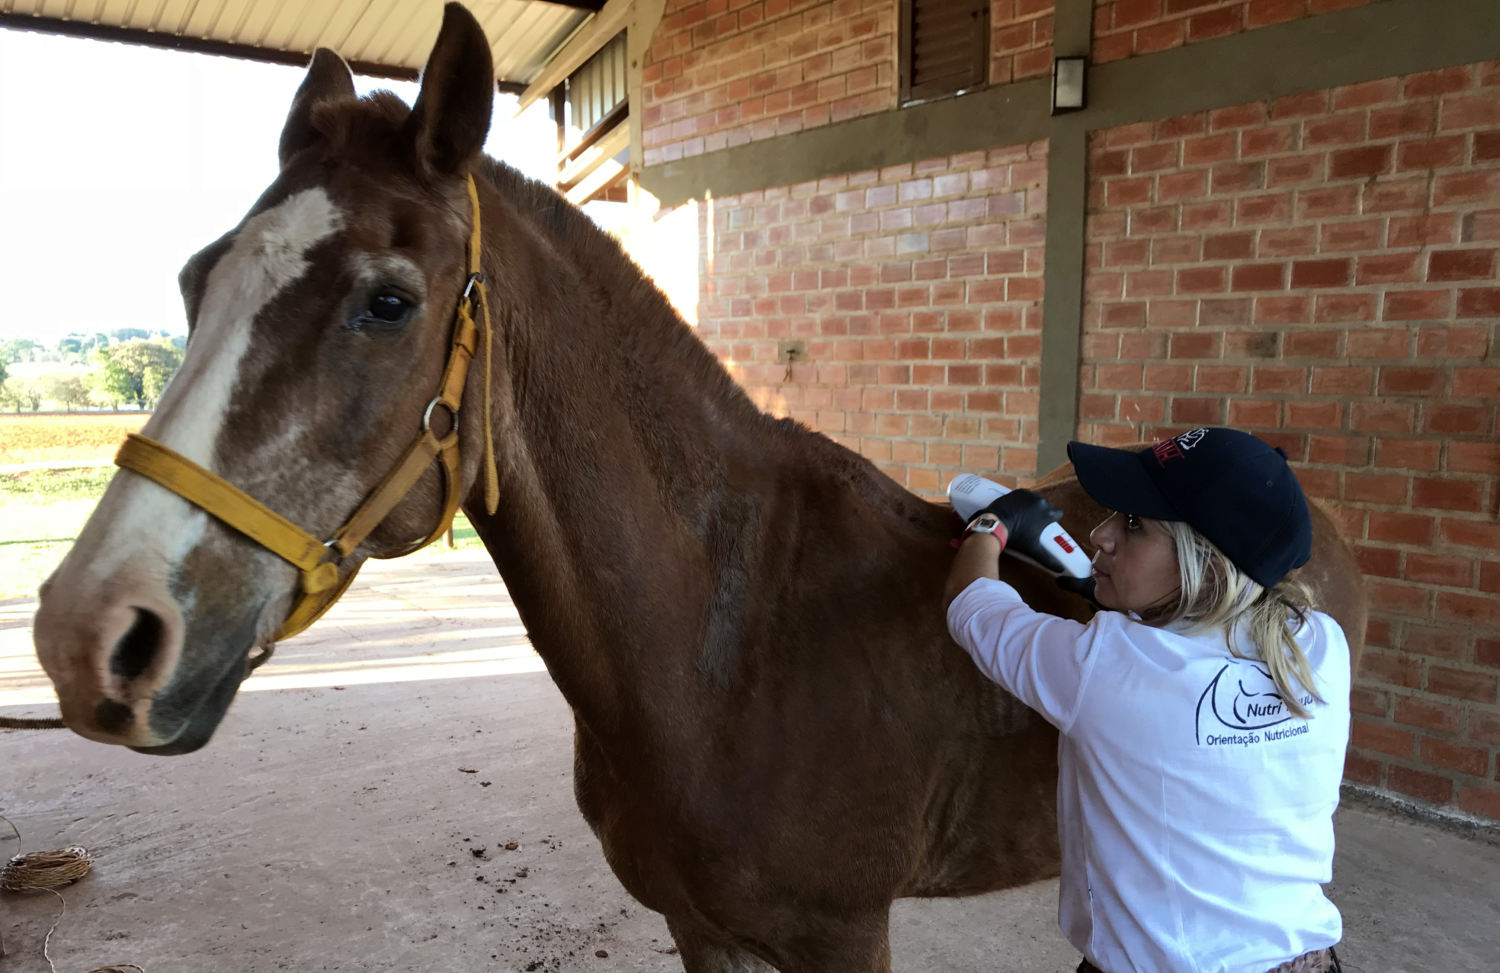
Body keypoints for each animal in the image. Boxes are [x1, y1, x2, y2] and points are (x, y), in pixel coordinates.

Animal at [35, 3, 1368, 965]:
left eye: (388, 301)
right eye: (196, 276)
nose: (90, 635)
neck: (732, 641)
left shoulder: (840, 939)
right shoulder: (700, 928)